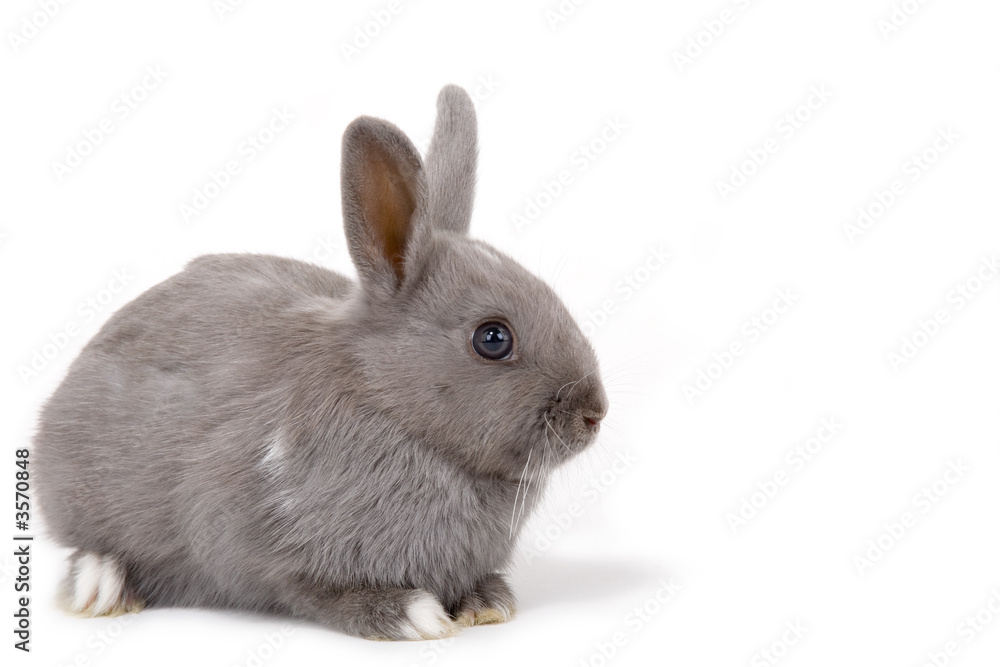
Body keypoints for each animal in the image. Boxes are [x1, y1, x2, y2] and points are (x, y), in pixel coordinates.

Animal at [33, 85, 608, 641]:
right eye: (492, 339)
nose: (594, 413)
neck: (389, 406)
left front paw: (487, 604)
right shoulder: (255, 543)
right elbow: (312, 590)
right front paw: (409, 615)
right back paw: (100, 586)